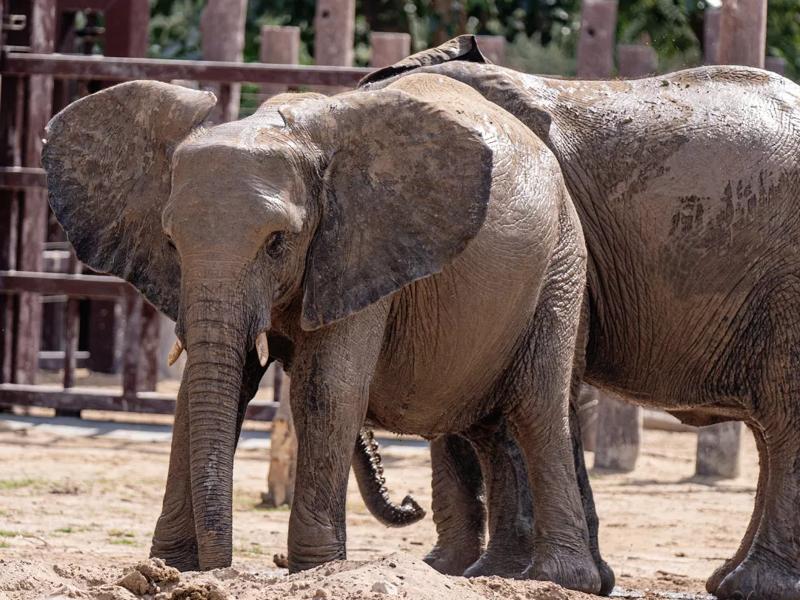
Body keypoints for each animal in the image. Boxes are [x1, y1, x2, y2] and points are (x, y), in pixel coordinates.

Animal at [39, 74, 600, 592]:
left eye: (277, 242)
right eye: (171, 243)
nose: (221, 572)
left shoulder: (358, 245)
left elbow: (325, 389)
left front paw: (316, 569)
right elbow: (206, 391)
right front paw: (169, 567)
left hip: (561, 263)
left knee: (537, 409)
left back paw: (558, 579)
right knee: (489, 424)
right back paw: (492, 575)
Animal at [362, 37, 800, 600]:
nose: (408, 504)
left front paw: (497, 574)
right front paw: (462, 572)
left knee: (785, 416)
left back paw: (754, 584)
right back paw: (728, 579)